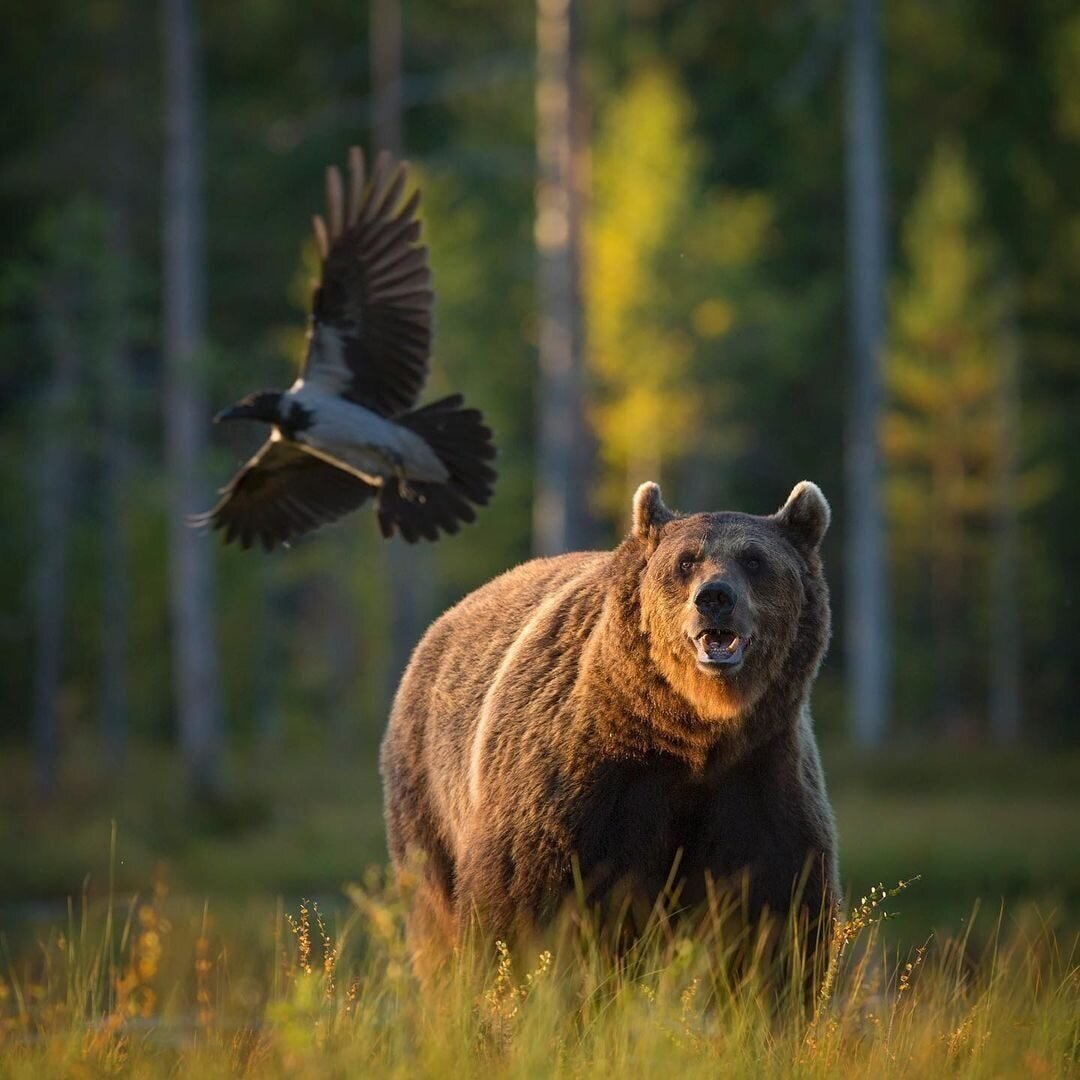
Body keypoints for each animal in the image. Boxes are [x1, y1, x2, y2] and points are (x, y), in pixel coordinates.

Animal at [384, 481, 838, 972]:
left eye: (754, 560)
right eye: (686, 562)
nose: (715, 598)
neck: (692, 731)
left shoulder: (759, 773)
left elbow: (779, 914)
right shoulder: (578, 773)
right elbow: (520, 892)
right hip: (426, 790)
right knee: (434, 908)